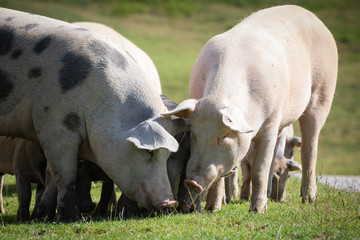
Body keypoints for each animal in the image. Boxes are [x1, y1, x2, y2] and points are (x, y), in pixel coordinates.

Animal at [0, 8, 186, 220]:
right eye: (148, 151)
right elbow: (64, 175)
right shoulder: (52, 126)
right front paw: (71, 217)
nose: (169, 202)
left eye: (167, 155)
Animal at [163, 5, 338, 212]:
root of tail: (312, 16)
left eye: (223, 137)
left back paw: (308, 200)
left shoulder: (271, 121)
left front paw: (257, 211)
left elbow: (259, 168)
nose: (192, 182)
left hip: (323, 92)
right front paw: (213, 209)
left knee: (310, 146)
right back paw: (271, 196)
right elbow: (224, 174)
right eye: (194, 135)